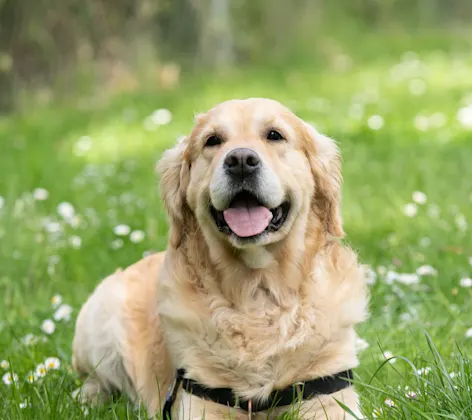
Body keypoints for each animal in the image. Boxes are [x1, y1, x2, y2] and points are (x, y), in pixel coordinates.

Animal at [73, 97, 368, 418]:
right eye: (212, 140)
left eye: (274, 135)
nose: (240, 160)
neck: (257, 292)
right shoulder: (201, 399)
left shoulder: (328, 394)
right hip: (100, 318)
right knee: (94, 380)